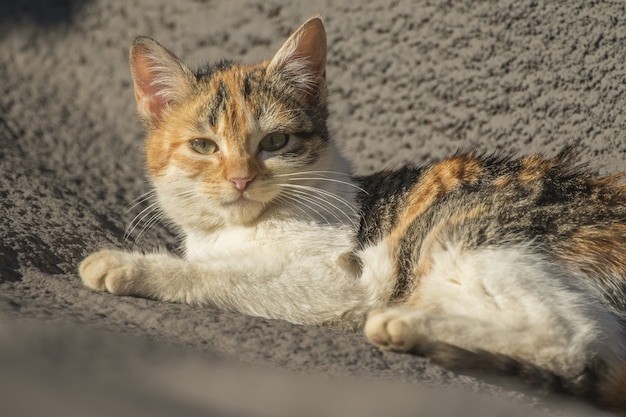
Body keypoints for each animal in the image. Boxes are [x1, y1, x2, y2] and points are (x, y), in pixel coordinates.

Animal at [80, 17, 624, 412]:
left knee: (570, 341)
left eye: (275, 141)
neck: (241, 228)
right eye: (203, 146)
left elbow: (218, 275)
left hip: (471, 230)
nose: (240, 178)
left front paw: (125, 265)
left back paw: (405, 324)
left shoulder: (339, 282)